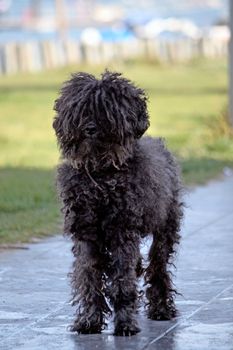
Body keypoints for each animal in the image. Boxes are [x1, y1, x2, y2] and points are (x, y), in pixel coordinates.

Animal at [52, 71, 184, 336]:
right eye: (80, 108)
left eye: (108, 109)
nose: (90, 128)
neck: (100, 176)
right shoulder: (86, 235)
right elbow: (89, 279)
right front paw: (89, 321)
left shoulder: (122, 232)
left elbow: (123, 282)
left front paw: (125, 324)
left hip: (165, 227)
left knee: (158, 267)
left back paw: (161, 309)